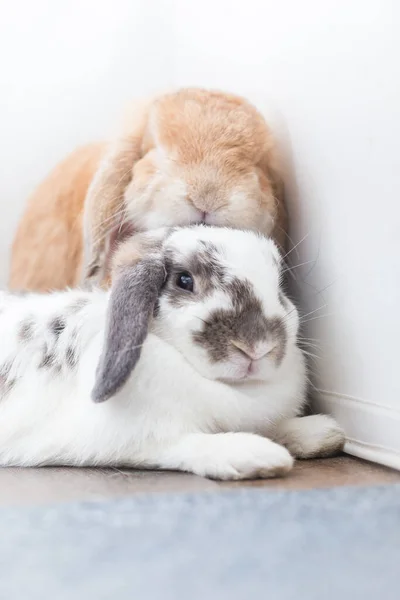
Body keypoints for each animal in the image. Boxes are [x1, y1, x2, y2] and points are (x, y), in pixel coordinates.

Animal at [0, 227, 344, 480]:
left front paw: (321, 432)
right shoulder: (135, 439)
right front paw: (256, 455)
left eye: (279, 287)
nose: (257, 346)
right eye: (184, 280)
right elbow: (187, 443)